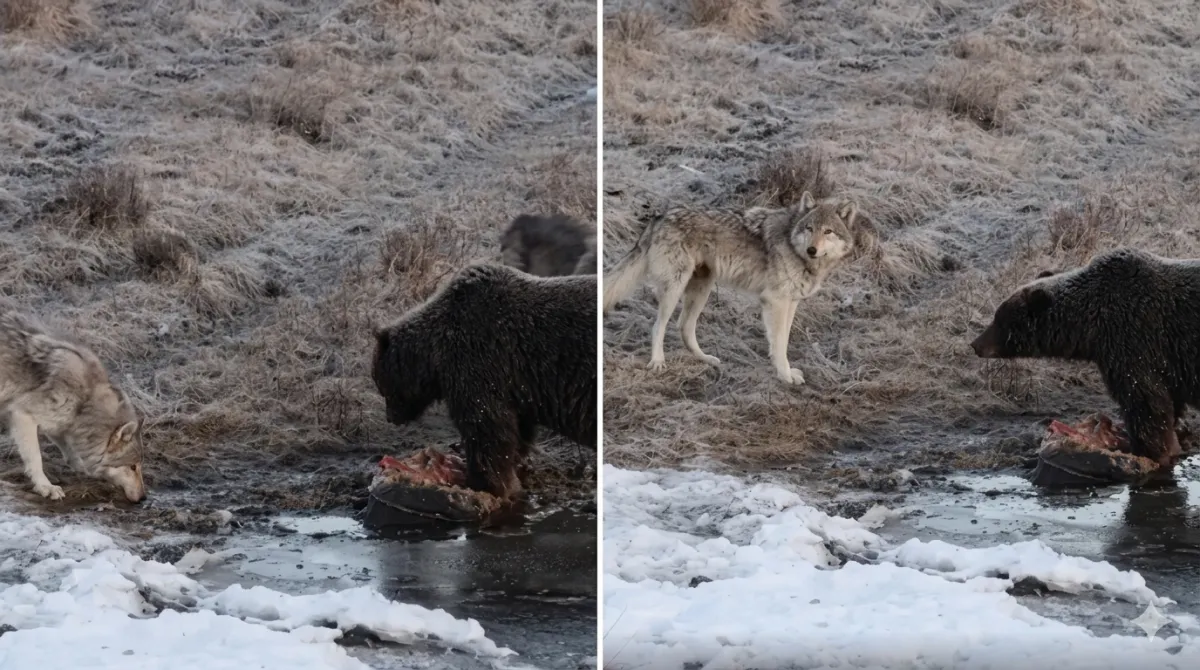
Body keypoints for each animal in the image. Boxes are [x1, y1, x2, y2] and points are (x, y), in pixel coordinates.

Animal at [0, 305, 147, 502]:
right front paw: (46, 487)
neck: (86, 401)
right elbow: (36, 458)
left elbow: (71, 452)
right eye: (132, 467)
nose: (144, 498)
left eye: (139, 466)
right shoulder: (23, 416)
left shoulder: (60, 423)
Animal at [371, 262, 597, 498]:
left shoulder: (478, 360)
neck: (434, 355)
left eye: (381, 386)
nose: (391, 418)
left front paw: (481, 480)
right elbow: (517, 429)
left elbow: (486, 426)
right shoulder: (514, 385)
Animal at [603, 191, 868, 385]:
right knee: (659, 326)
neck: (795, 246)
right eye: (809, 228)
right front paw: (785, 376)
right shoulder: (776, 301)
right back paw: (658, 362)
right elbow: (779, 343)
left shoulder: (791, 302)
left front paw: (784, 371)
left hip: (702, 288)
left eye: (828, 231)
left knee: (684, 327)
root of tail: (659, 217)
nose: (812, 249)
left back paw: (707, 360)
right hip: (675, 288)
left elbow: (782, 340)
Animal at [970, 247, 1200, 470]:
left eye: (1000, 320)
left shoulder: (1133, 339)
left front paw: (1148, 451)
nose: (975, 344)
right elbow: (1167, 403)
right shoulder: (1164, 362)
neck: (1090, 324)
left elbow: (1144, 400)